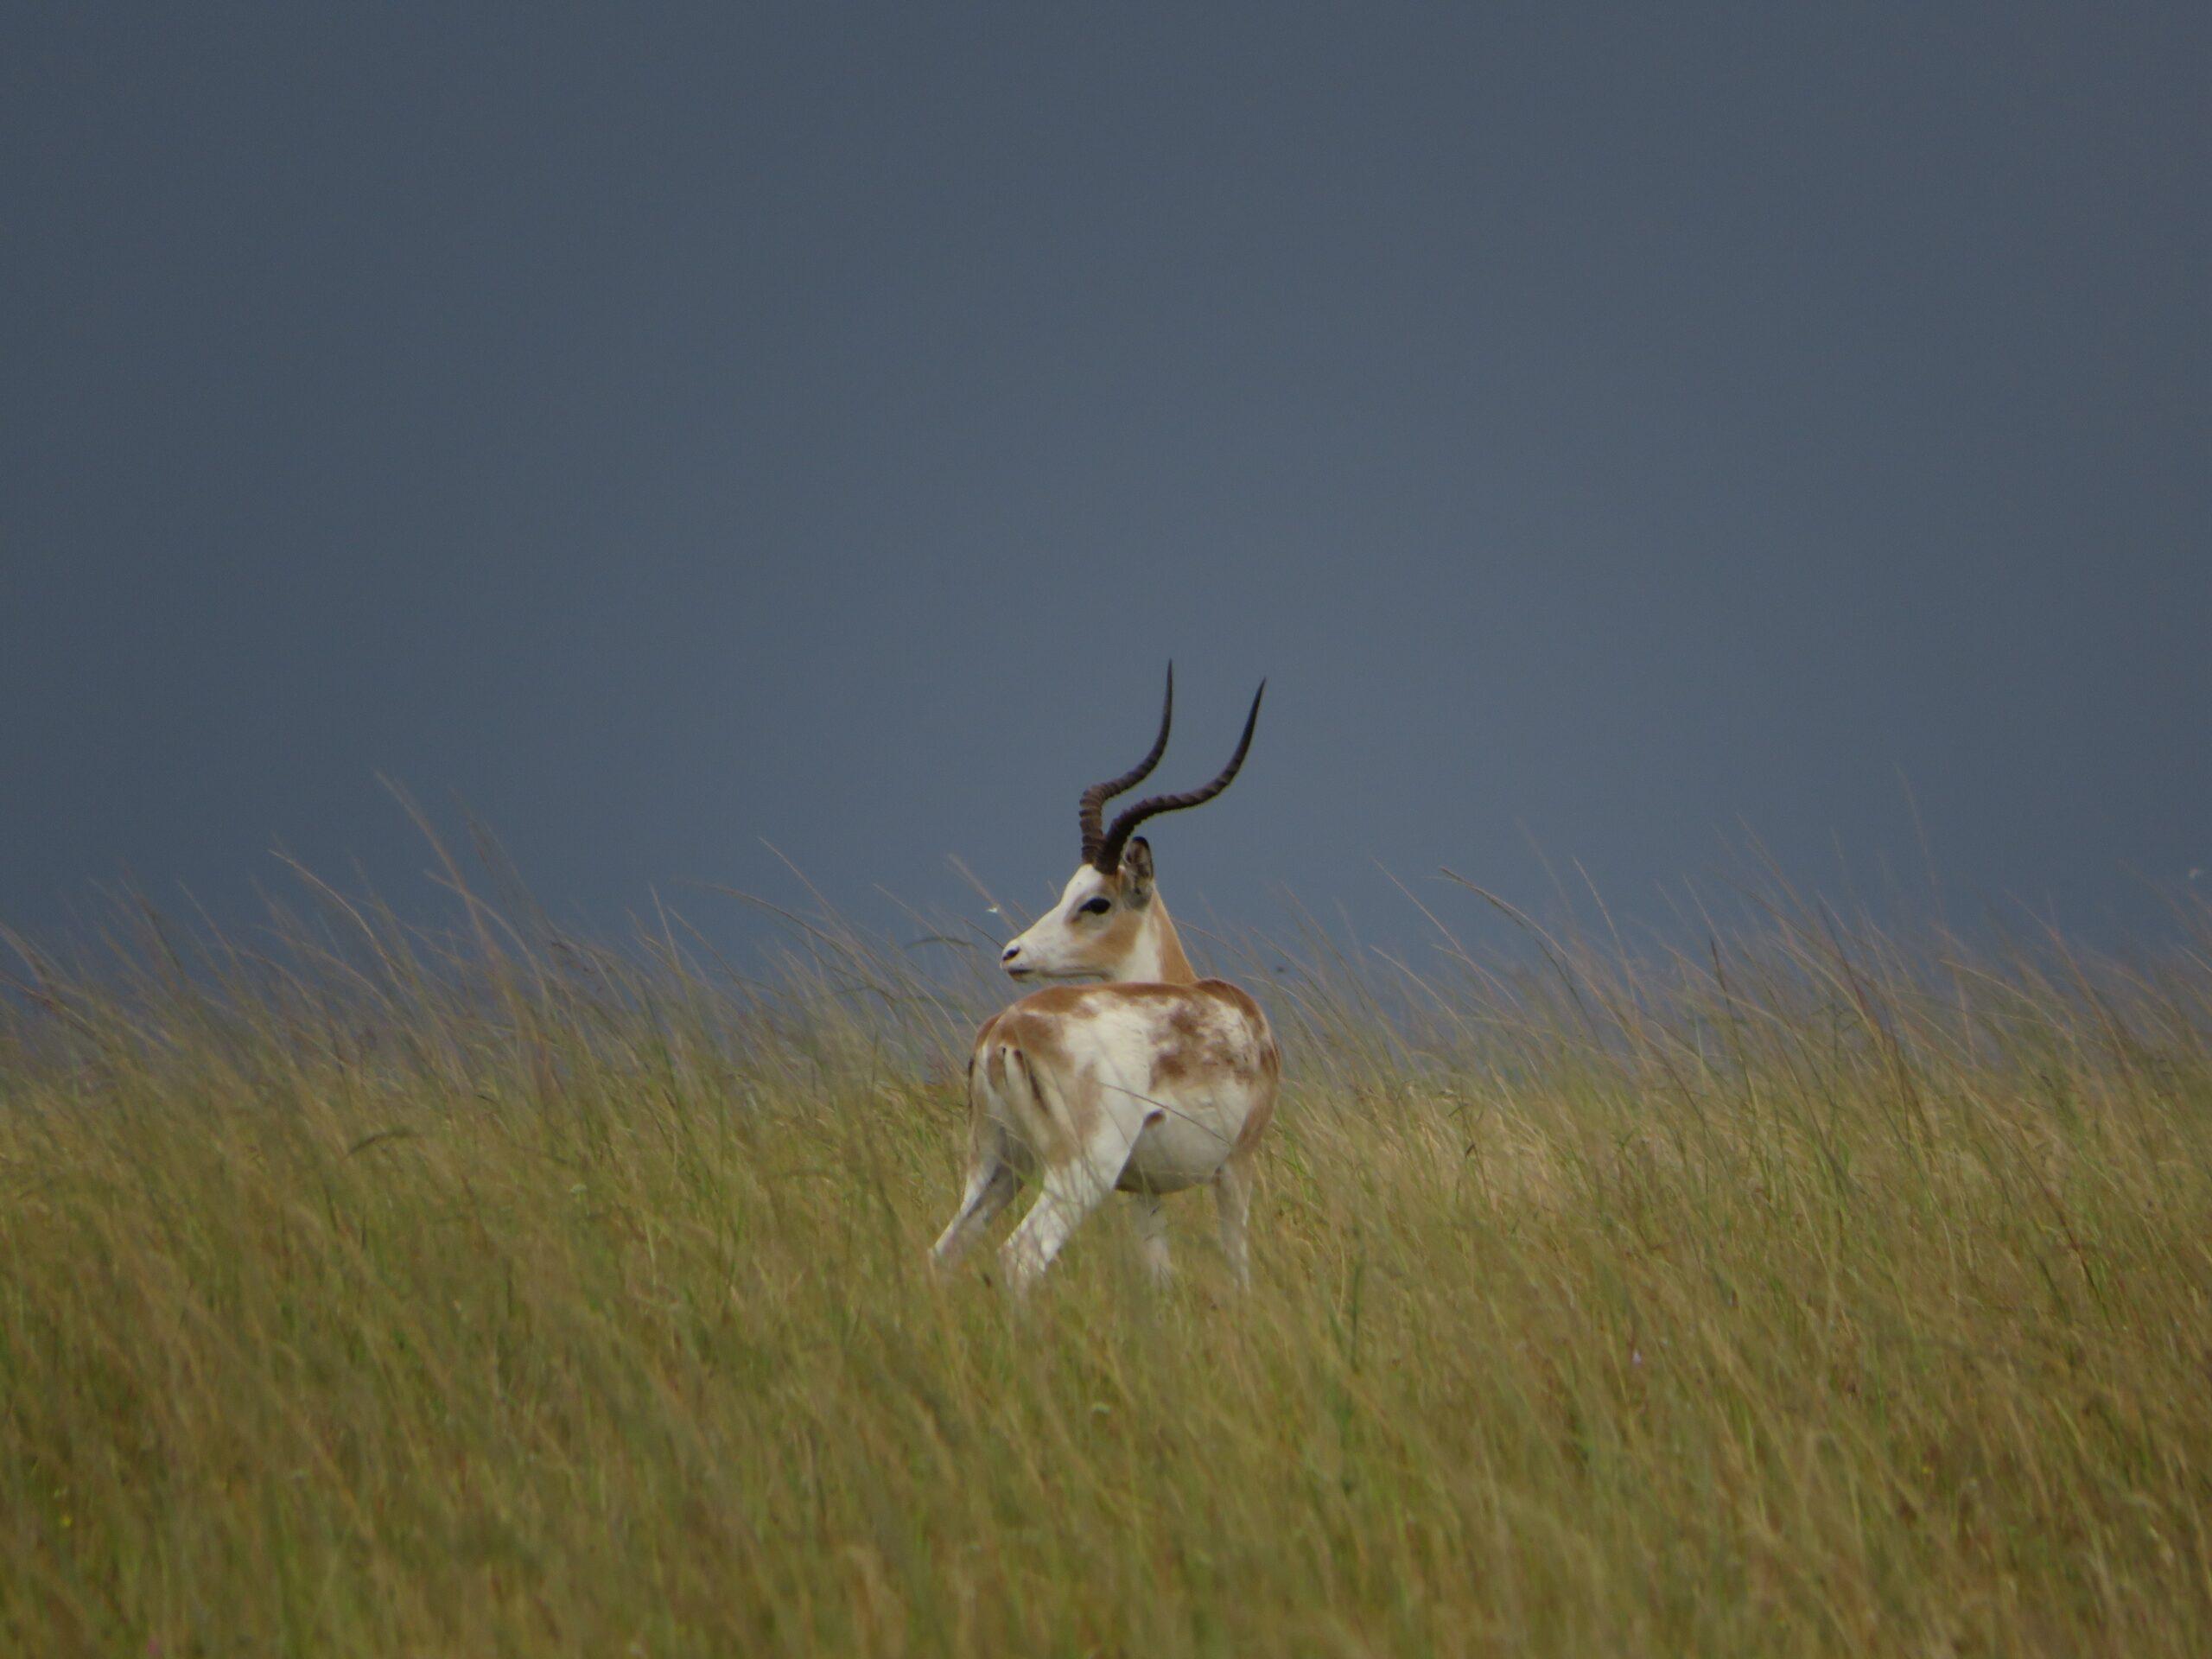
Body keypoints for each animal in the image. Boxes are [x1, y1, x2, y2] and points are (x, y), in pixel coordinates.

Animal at [930, 669, 1281, 1292]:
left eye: (1094, 900)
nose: (1013, 954)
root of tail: (1004, 1033)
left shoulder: (1143, 1190)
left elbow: (1158, 1278)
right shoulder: (1236, 1164)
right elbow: (1238, 1267)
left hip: (996, 1168)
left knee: (942, 1254)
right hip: (1078, 1174)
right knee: (1019, 1258)